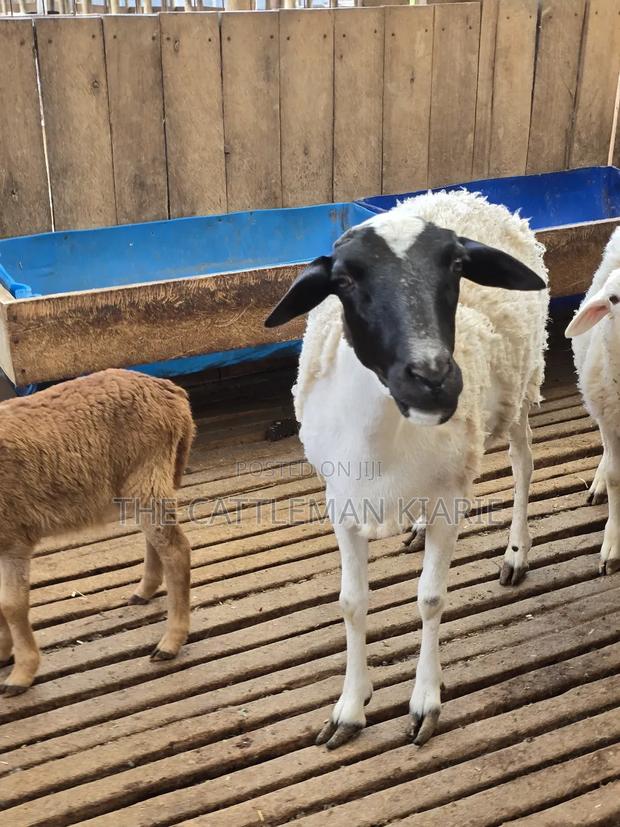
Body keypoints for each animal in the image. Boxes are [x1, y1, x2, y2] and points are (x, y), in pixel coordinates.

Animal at [0, 368, 195, 695]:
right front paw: (3, 654)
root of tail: (171, 391)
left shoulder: (14, 537)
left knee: (175, 549)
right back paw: (144, 591)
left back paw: (169, 643)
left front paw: (21, 673)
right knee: (155, 539)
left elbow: (12, 605)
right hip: (138, 481)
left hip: (147, 470)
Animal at [265, 190, 549, 748]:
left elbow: (431, 599)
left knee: (523, 465)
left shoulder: (450, 501)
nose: (432, 378)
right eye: (344, 281)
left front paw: (424, 701)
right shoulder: (343, 505)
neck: (386, 434)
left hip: (522, 386)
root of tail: (468, 195)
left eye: (457, 265)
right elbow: (351, 602)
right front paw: (350, 708)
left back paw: (516, 552)